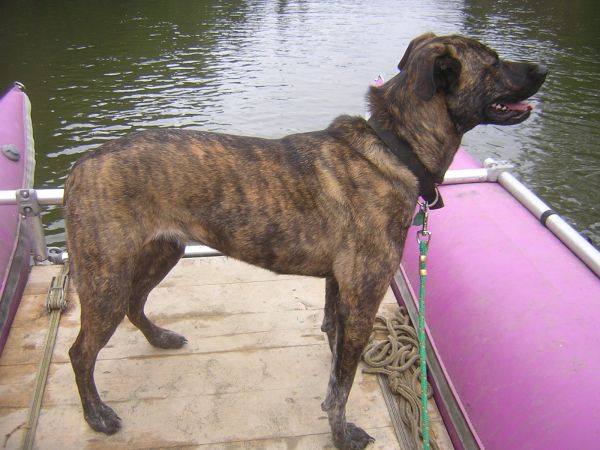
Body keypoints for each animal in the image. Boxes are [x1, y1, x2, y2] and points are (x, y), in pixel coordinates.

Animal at [63, 33, 548, 448]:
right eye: (493, 62)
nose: (543, 68)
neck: (396, 148)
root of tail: (81, 165)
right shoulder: (364, 297)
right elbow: (341, 386)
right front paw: (341, 433)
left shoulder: (339, 287)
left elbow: (336, 354)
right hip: (106, 278)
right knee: (80, 352)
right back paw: (96, 416)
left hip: (162, 252)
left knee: (135, 304)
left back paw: (159, 338)